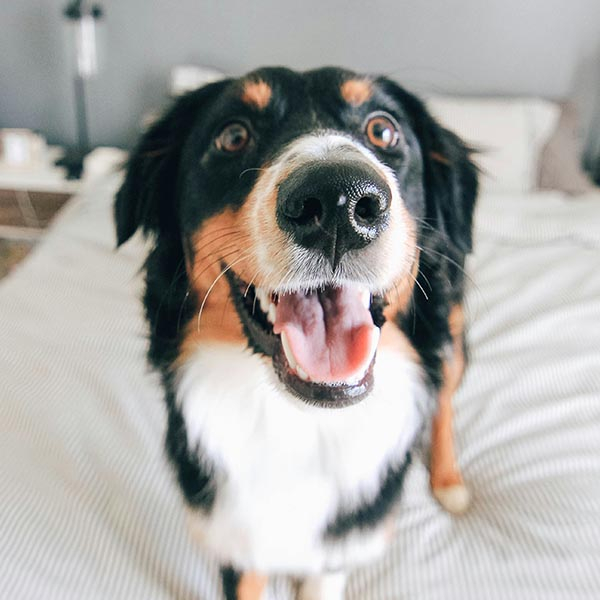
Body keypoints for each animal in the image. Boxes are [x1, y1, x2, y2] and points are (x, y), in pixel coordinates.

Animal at [113, 67, 478, 600]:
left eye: (383, 130)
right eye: (233, 135)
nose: (340, 199)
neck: (299, 423)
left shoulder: (336, 549)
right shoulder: (236, 541)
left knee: (445, 396)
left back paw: (449, 481)